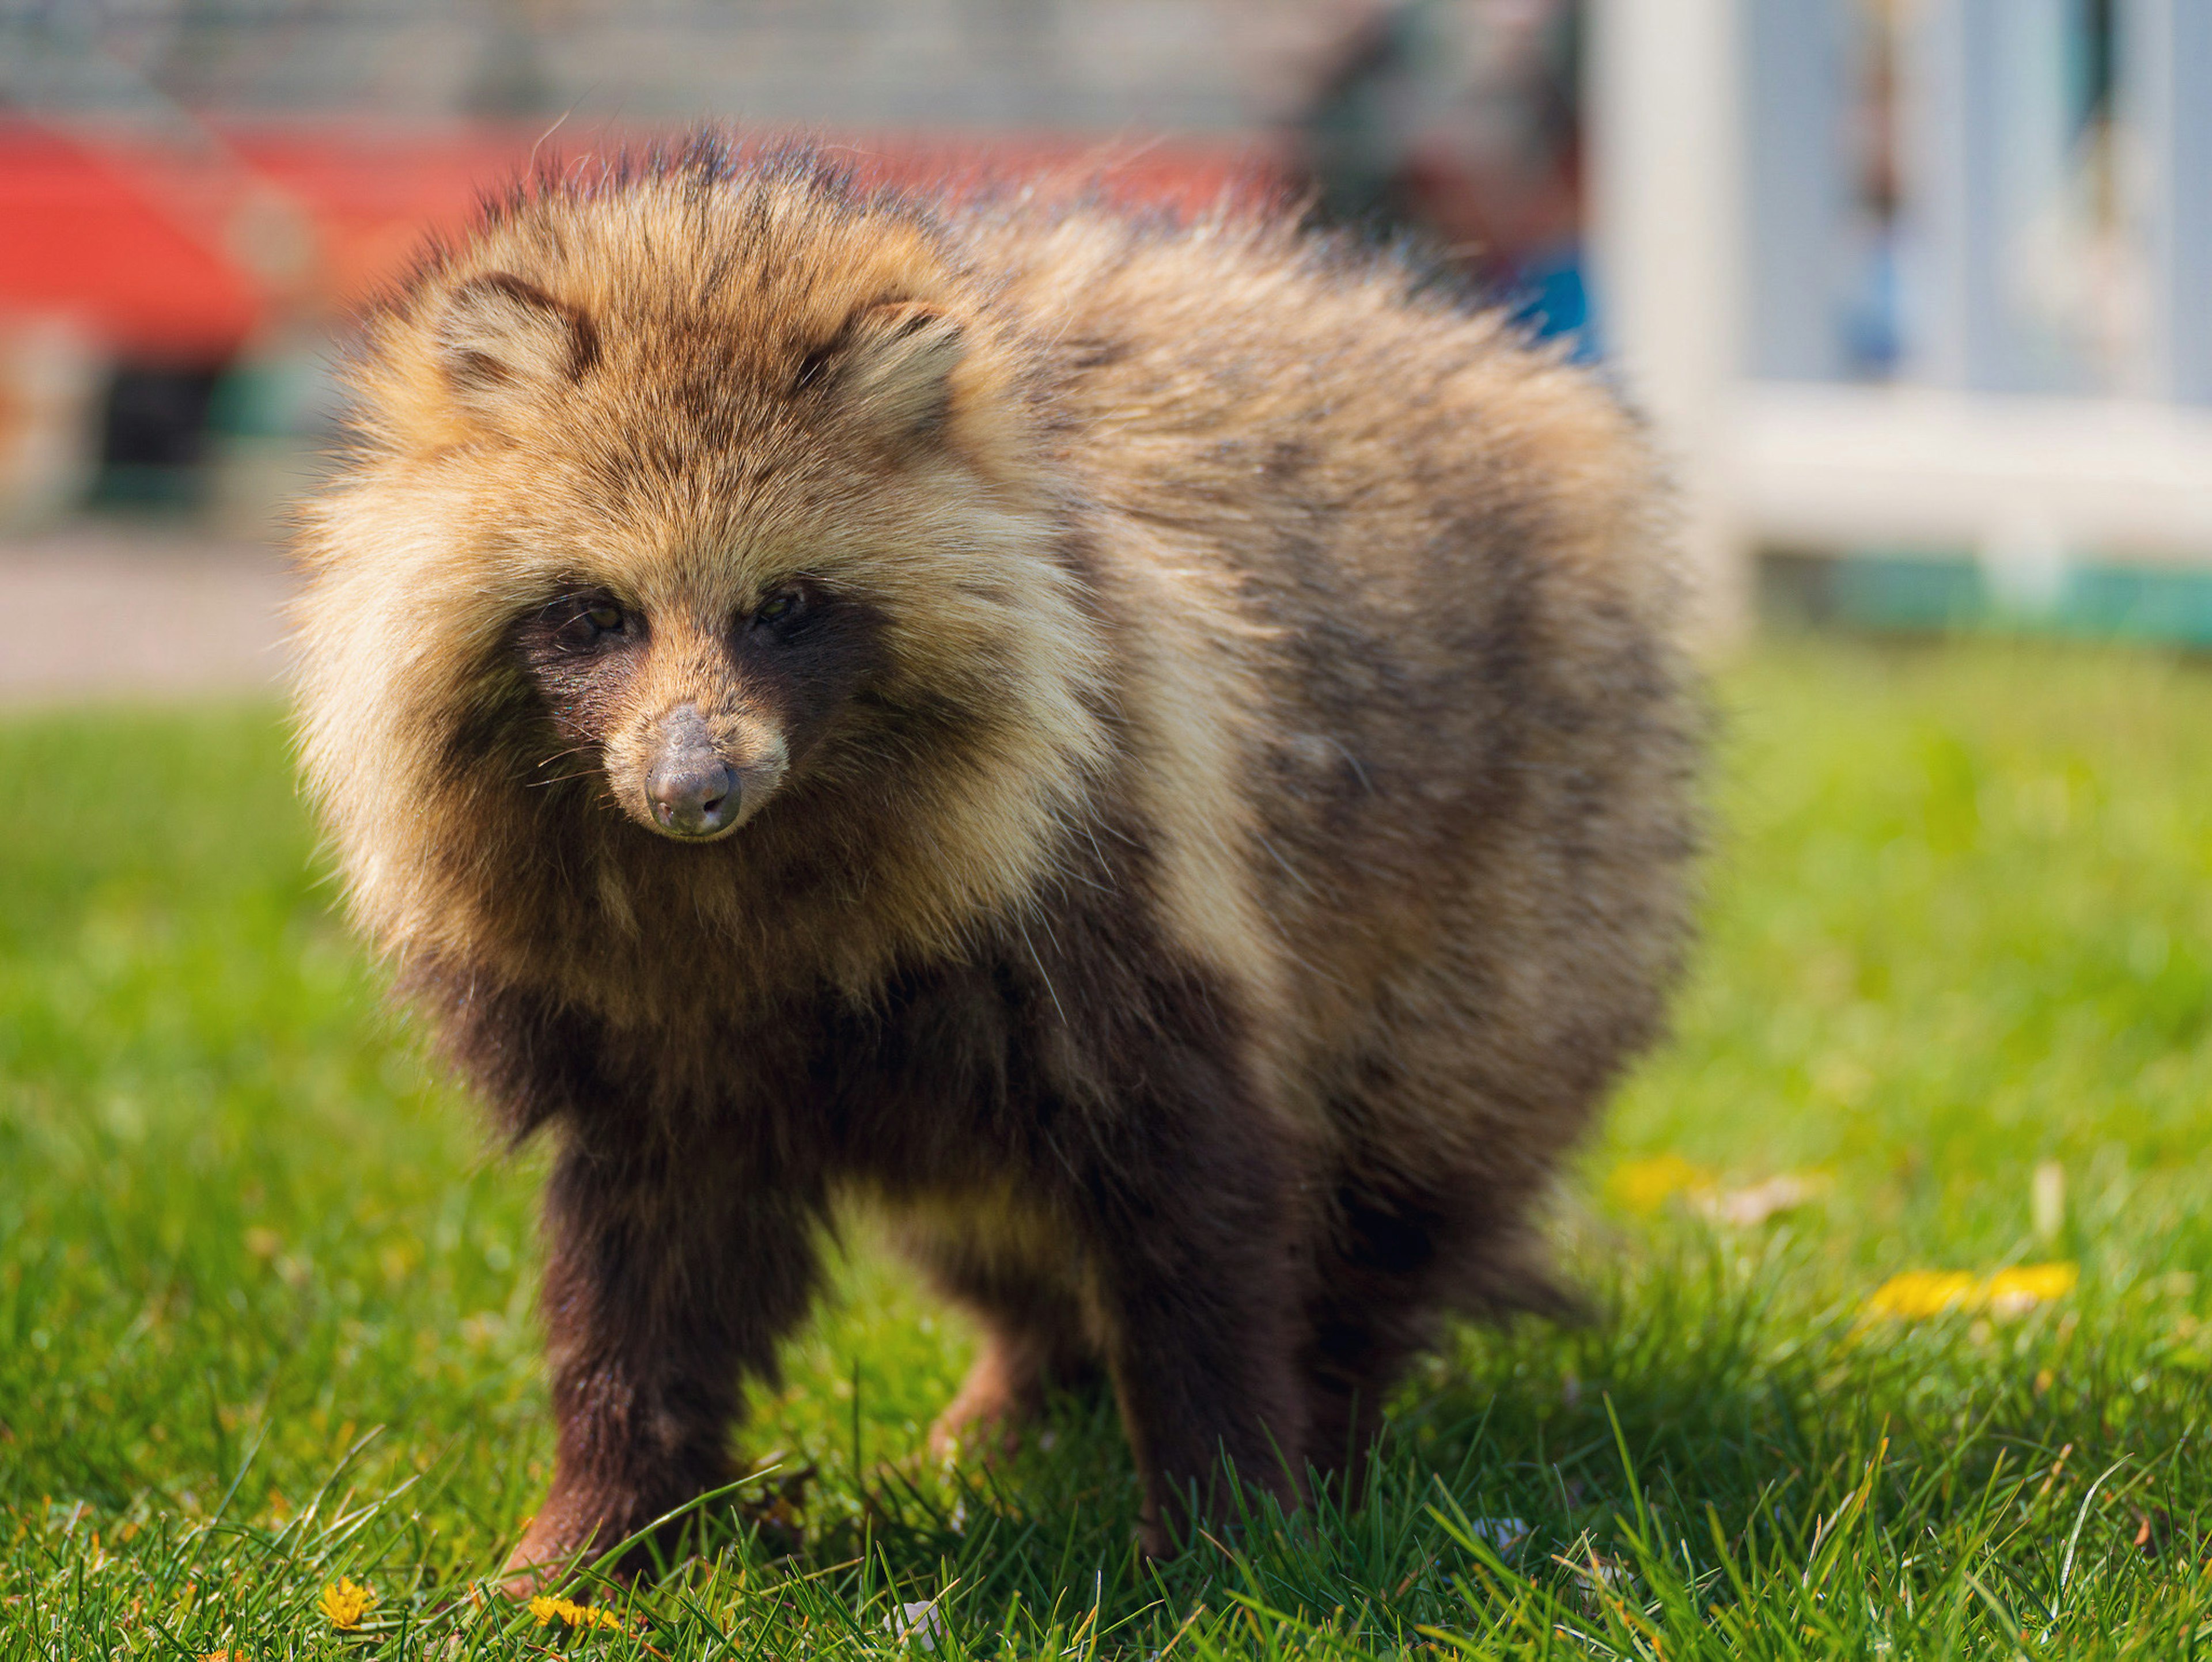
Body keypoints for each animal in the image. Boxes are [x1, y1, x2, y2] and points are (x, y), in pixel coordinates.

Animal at [294, 139, 1699, 1582]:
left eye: (783, 606)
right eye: (596, 613)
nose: (693, 791)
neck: (735, 884)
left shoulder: (1117, 860)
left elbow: (1197, 1197)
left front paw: (1232, 1519)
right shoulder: (638, 1025)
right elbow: (651, 1260)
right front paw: (601, 1527)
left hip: (1526, 880)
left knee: (1401, 1170)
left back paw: (1337, 1400)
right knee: (988, 1232)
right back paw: (1021, 1382)